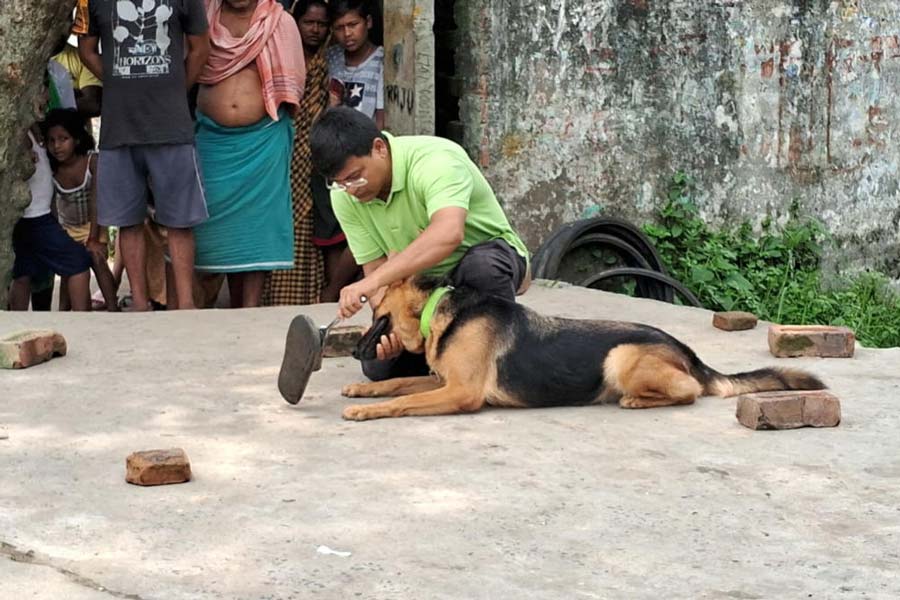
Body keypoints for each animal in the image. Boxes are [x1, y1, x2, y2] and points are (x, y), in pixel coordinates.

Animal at [342, 278, 828, 422]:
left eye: (372, 310)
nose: (353, 353)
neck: (436, 311)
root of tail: (688, 352)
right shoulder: (443, 381)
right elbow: (401, 383)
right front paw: (361, 391)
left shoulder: (462, 393)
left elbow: (402, 400)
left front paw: (365, 410)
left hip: (619, 357)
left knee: (690, 389)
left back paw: (637, 400)